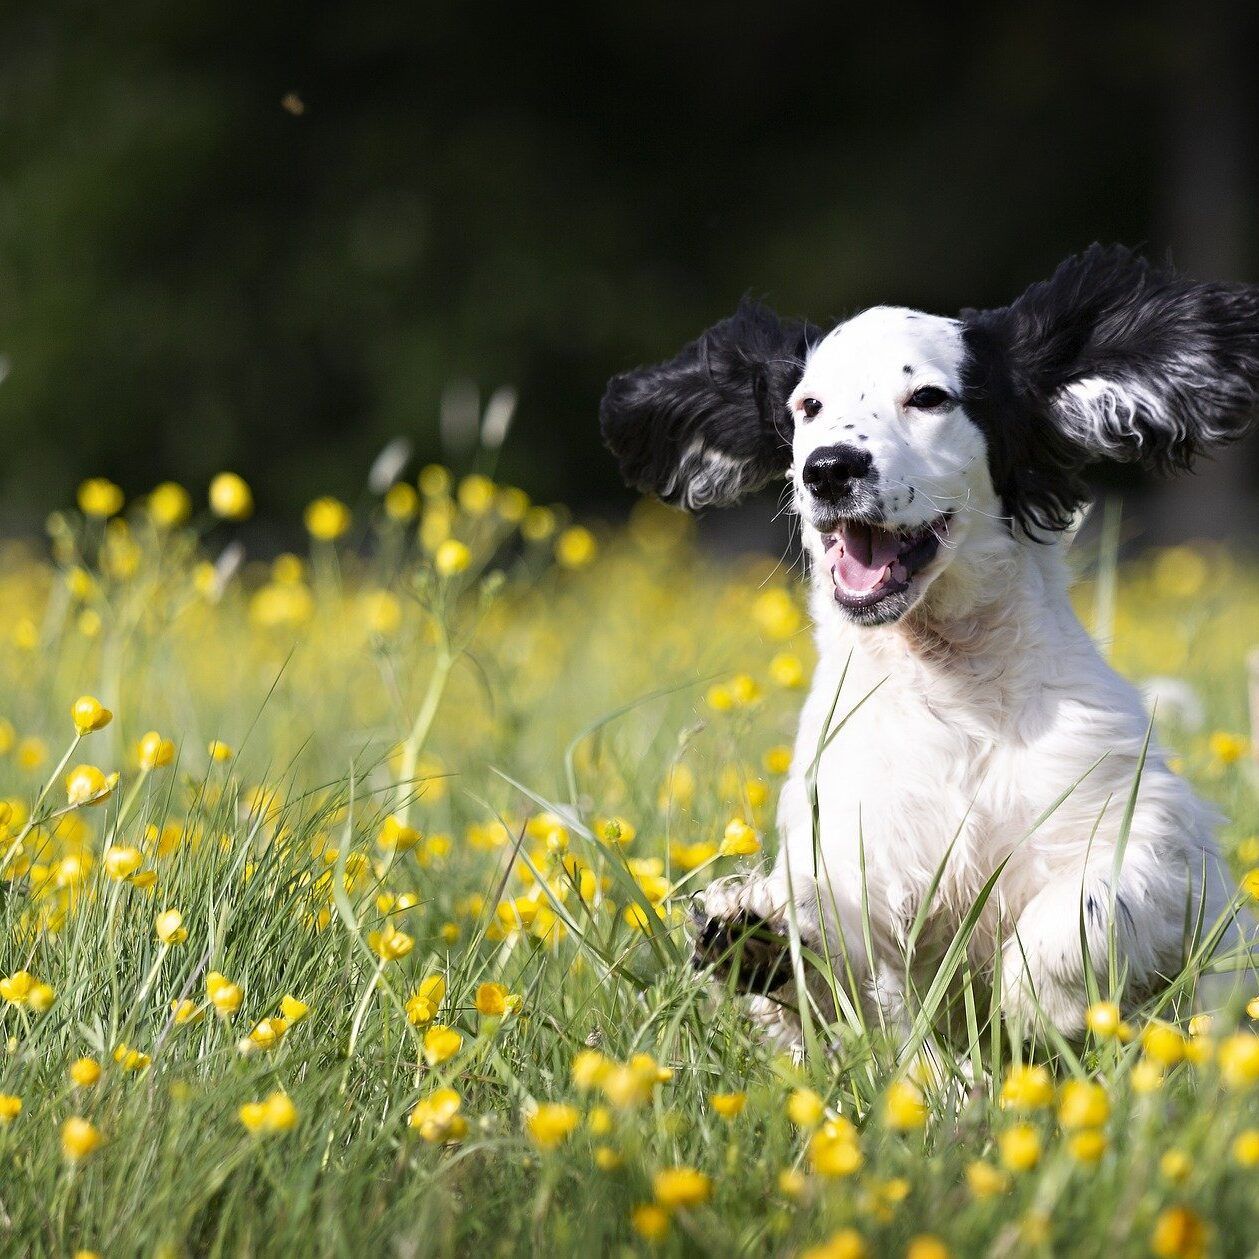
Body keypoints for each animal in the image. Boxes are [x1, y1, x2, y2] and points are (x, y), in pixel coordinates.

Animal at [599, 240, 1259, 1047]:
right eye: (807, 407)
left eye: (929, 398)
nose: (828, 468)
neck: (947, 683)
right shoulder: (853, 852)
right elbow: (834, 962)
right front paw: (758, 938)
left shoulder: (1152, 839)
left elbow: (1086, 903)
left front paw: (1036, 1002)